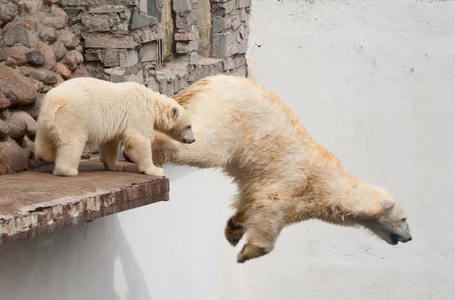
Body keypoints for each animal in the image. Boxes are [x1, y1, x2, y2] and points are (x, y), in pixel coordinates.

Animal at [34, 77, 193, 177]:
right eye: (189, 126)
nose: (192, 140)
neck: (152, 102)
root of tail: (54, 101)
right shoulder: (139, 114)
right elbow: (138, 142)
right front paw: (155, 170)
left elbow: (109, 144)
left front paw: (117, 166)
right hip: (74, 117)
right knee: (72, 143)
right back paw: (68, 171)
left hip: (45, 119)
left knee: (43, 142)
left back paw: (46, 158)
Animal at [152, 74, 414, 262]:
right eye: (403, 219)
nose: (409, 238)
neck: (332, 185)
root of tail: (206, 82)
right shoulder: (296, 187)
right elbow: (271, 211)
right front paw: (246, 253)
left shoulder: (260, 188)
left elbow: (249, 202)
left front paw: (234, 228)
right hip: (228, 117)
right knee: (207, 148)